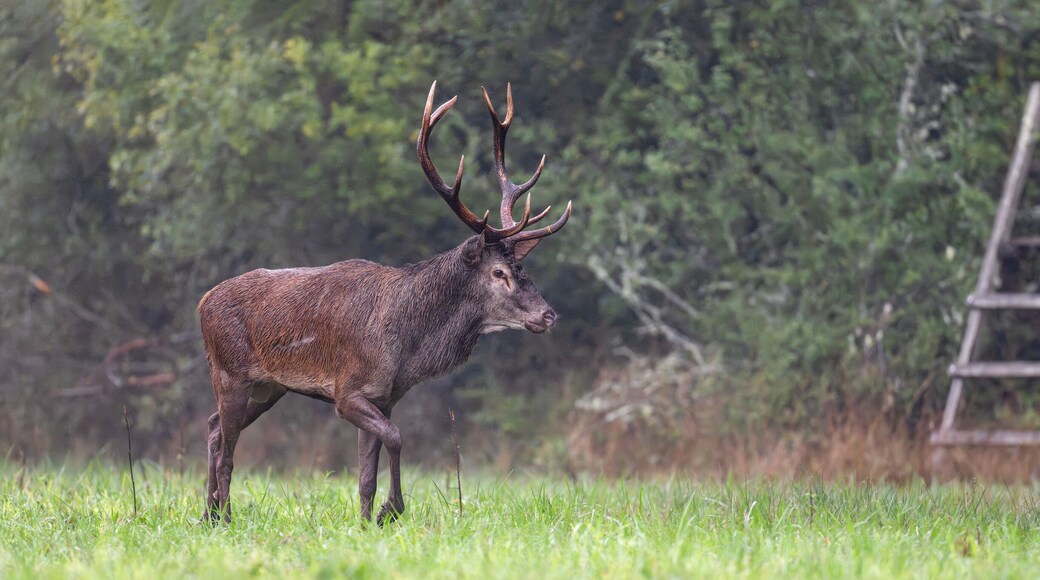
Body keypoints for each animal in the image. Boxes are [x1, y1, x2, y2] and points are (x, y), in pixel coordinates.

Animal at [198, 81, 571, 525]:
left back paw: (207, 513)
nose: (548, 314)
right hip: (230, 373)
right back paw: (224, 516)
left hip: (267, 388)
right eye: (499, 272)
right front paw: (391, 511)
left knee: (213, 428)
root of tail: (202, 302)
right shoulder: (349, 391)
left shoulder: (383, 397)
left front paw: (364, 522)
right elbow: (396, 439)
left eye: (522, 267)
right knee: (226, 446)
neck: (406, 348)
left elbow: (365, 474)